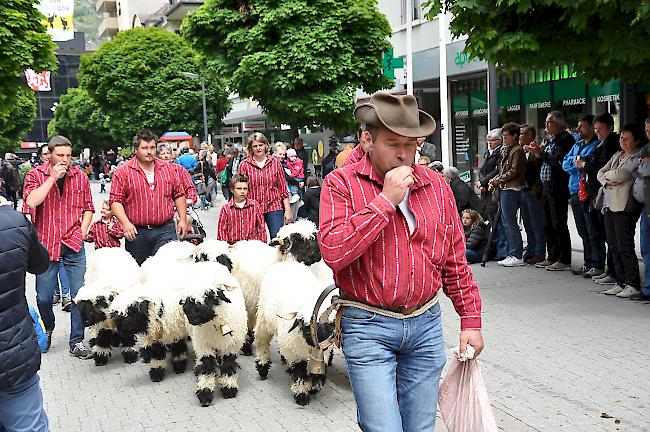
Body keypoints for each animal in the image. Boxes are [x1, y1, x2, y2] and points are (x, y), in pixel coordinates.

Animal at [178, 262, 247, 406]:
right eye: (188, 300)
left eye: (209, 297)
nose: (192, 318)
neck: (217, 324)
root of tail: (207, 263)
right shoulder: (205, 347)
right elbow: (207, 367)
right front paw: (205, 394)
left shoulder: (231, 346)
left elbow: (228, 366)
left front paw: (229, 388)